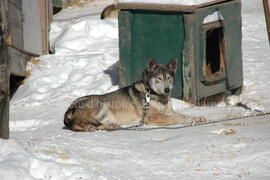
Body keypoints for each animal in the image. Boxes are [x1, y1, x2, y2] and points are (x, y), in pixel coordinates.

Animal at [63, 58, 207, 131]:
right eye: (159, 78)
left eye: (168, 78)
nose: (167, 90)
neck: (154, 94)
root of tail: (69, 108)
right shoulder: (155, 117)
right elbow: (178, 119)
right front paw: (190, 121)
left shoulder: (169, 112)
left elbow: (183, 115)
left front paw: (197, 118)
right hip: (99, 104)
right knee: (78, 123)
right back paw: (90, 126)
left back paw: (110, 126)